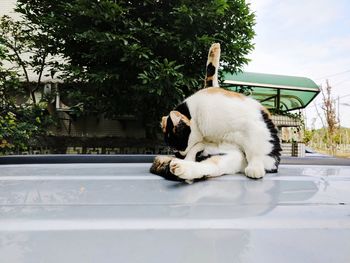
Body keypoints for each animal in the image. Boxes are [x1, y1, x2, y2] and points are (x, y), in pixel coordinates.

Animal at [152, 43, 280, 183]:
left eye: (177, 144)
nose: (178, 155)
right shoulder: (207, 140)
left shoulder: (253, 126)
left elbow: (254, 149)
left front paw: (255, 167)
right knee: (208, 166)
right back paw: (181, 167)